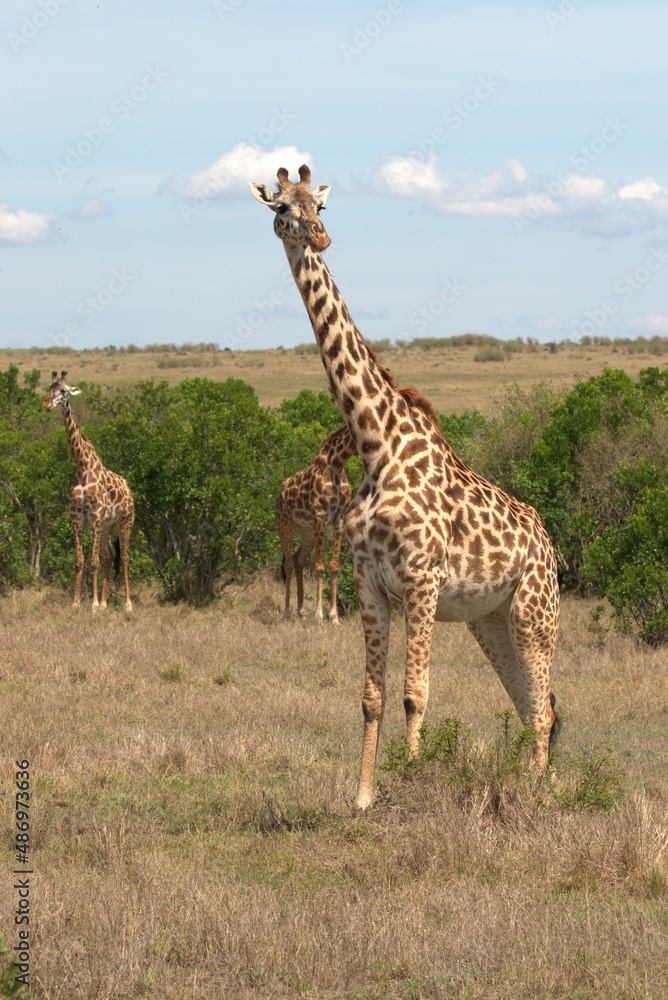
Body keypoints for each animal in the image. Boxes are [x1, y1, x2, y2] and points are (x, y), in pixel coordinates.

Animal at [43, 371, 135, 613]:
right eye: (48, 388)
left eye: (63, 391)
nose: (47, 404)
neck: (82, 465)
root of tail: (129, 489)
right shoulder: (77, 519)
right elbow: (80, 561)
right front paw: (77, 603)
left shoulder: (94, 517)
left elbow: (93, 562)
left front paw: (92, 604)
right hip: (106, 525)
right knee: (109, 557)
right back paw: (104, 603)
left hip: (125, 521)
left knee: (125, 557)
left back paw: (127, 604)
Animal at [276, 424, 355, 623]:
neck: (337, 464)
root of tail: (280, 493)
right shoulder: (321, 517)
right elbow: (319, 568)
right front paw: (319, 615)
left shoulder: (339, 519)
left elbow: (334, 566)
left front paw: (334, 616)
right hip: (285, 525)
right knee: (288, 564)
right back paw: (287, 612)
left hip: (308, 531)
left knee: (298, 560)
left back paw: (301, 611)